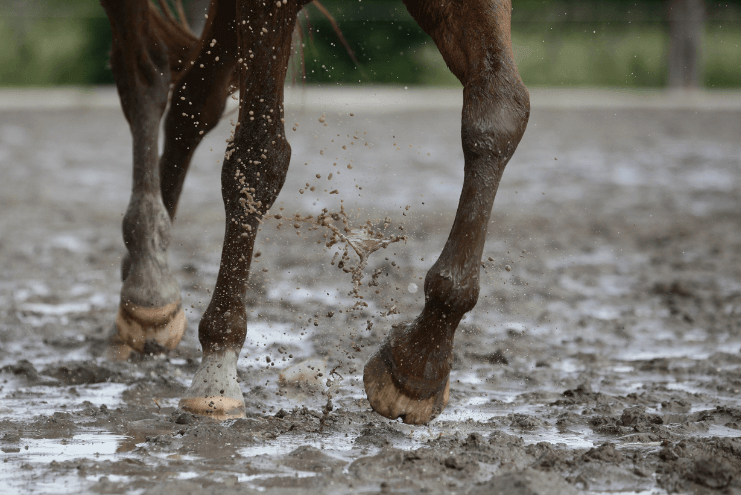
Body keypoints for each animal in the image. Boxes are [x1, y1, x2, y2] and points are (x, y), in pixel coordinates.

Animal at [100, 0, 530, 425]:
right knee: (145, 76)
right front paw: (217, 375)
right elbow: (258, 155)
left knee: (195, 97)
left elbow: (499, 111)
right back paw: (148, 282)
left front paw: (420, 362)